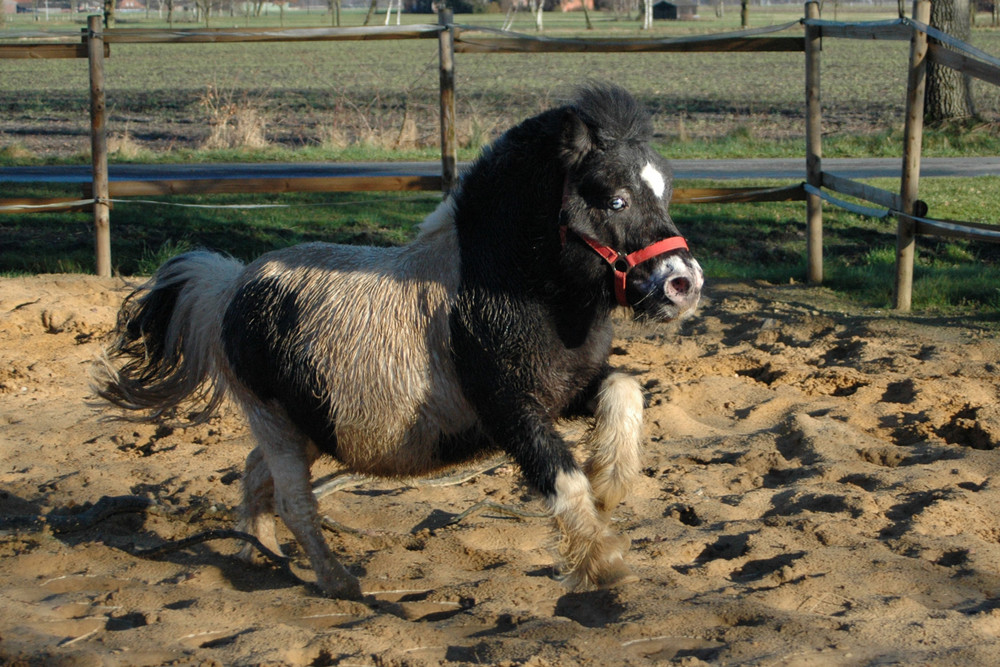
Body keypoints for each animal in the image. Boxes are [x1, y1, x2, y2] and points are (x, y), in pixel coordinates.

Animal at [95, 83, 704, 600]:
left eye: (665, 192)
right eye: (614, 200)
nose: (683, 283)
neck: (505, 288)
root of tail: (227, 286)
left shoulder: (566, 389)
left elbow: (625, 390)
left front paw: (612, 483)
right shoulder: (511, 410)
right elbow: (562, 479)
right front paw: (603, 563)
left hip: (306, 425)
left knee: (254, 475)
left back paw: (258, 554)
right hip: (272, 419)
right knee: (294, 500)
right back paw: (337, 581)